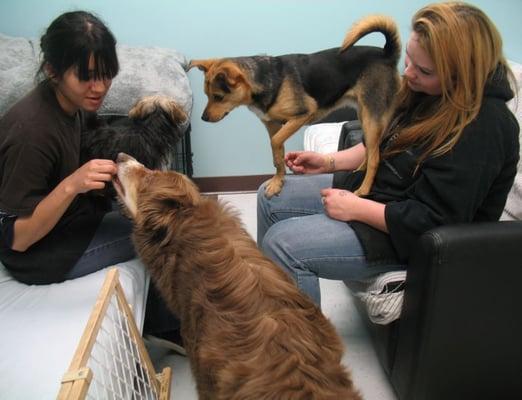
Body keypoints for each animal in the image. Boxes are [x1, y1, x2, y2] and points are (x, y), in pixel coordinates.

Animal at [190, 15, 398, 197]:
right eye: (206, 95)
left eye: (218, 97)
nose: (203, 118)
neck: (264, 80)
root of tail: (386, 54)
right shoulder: (272, 125)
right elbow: (278, 154)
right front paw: (278, 181)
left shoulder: (301, 115)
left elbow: (275, 143)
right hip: (365, 116)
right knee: (370, 150)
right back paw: (359, 170)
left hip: (371, 118)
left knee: (376, 157)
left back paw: (363, 189)